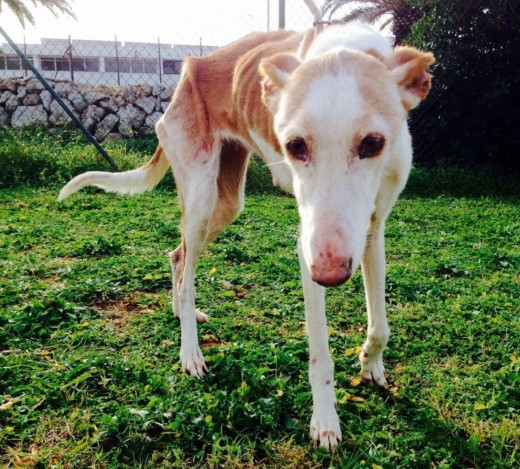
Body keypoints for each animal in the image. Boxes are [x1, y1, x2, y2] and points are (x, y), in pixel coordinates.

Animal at [58, 22, 434, 450]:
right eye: (294, 146)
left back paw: (181, 312)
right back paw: (190, 352)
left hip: (227, 203)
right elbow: (320, 351)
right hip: (202, 197)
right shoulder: (309, 247)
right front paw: (325, 421)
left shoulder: (372, 229)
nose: (330, 274)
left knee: (178, 256)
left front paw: (371, 364)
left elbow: (380, 326)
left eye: (373, 143)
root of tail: (187, 72)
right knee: (186, 273)